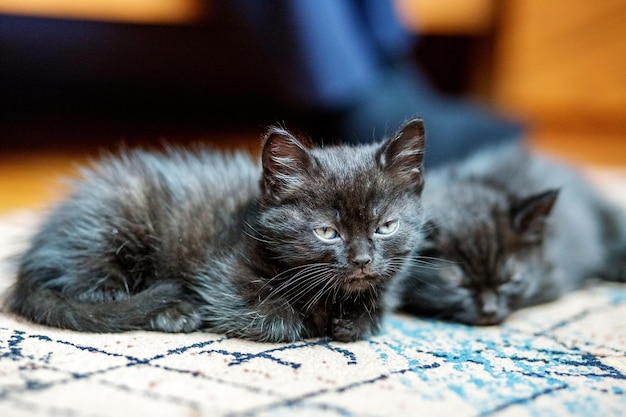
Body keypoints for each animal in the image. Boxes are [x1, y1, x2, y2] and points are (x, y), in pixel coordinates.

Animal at [3, 118, 424, 342]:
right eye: (326, 232)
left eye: (386, 227)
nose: (363, 260)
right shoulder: (223, 274)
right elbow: (275, 319)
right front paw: (309, 320)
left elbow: (372, 317)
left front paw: (350, 320)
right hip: (114, 228)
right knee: (95, 294)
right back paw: (175, 313)